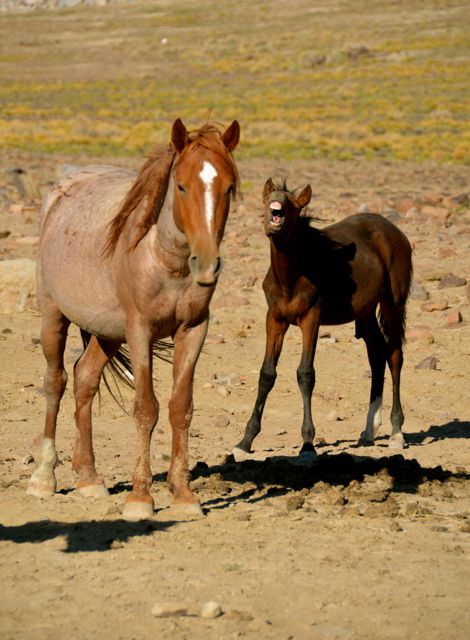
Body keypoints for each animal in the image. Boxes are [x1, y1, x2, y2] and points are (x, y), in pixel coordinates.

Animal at [27, 118, 240, 519]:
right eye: (182, 186)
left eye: (229, 188)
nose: (206, 264)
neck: (164, 259)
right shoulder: (140, 331)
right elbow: (146, 408)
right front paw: (141, 498)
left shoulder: (194, 330)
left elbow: (180, 408)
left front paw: (183, 495)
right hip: (53, 315)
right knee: (55, 382)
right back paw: (44, 477)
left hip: (107, 332)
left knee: (84, 378)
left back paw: (90, 479)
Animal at [233, 178, 412, 461]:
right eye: (267, 199)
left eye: (292, 205)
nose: (276, 206)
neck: (291, 277)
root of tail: (396, 233)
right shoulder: (274, 319)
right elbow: (266, 374)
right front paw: (245, 441)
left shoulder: (311, 318)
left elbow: (306, 374)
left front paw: (307, 444)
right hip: (366, 312)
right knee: (376, 355)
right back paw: (369, 431)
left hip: (392, 303)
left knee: (394, 356)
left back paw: (396, 433)